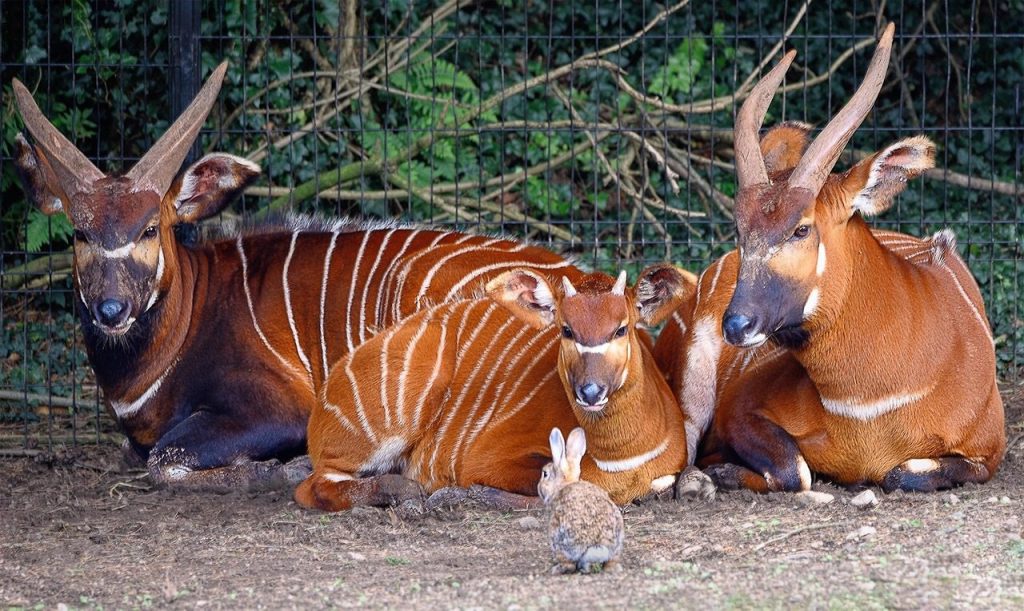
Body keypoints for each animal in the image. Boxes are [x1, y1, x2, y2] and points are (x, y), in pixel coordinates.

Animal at [538, 427, 624, 574]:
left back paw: (557, 568)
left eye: (545, 474)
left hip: (560, 541)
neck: (565, 484)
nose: (538, 488)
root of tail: (599, 546)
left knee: (570, 565)